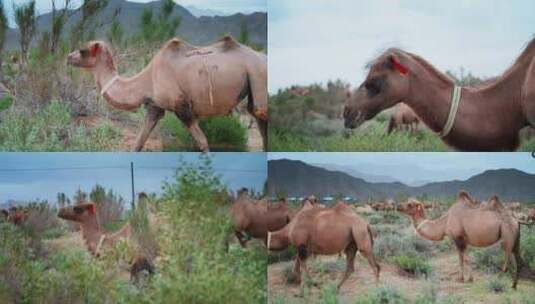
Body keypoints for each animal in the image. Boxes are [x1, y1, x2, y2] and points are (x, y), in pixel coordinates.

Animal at [67, 35, 268, 152]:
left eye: (83, 51)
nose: (68, 57)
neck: (147, 79)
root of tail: (263, 57)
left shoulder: (181, 106)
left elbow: (203, 142)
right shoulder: (155, 107)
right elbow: (138, 142)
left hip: (257, 74)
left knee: (260, 112)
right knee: (259, 119)